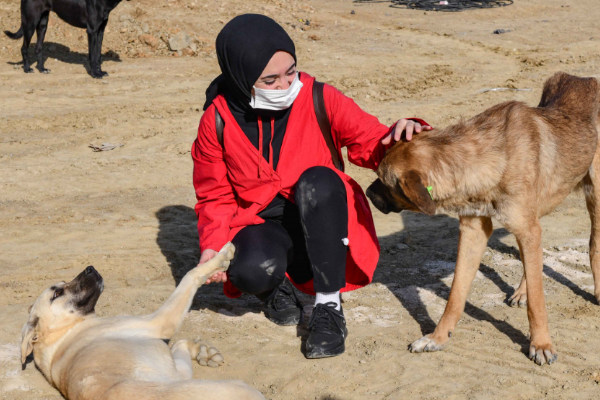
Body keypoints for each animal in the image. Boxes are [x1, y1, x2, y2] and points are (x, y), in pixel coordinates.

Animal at [21, 242, 264, 400]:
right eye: (57, 293)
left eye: (62, 283)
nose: (90, 268)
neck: (65, 332)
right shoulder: (160, 322)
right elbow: (192, 275)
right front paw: (220, 258)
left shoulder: (178, 373)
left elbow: (179, 345)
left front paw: (203, 351)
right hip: (239, 387)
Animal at [366, 72, 600, 366]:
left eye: (383, 180)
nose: (366, 193)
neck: (486, 157)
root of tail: (584, 77)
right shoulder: (474, 230)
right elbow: (456, 294)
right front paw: (437, 337)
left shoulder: (525, 227)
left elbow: (538, 302)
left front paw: (541, 344)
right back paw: (522, 290)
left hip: (595, 194)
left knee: (592, 244)